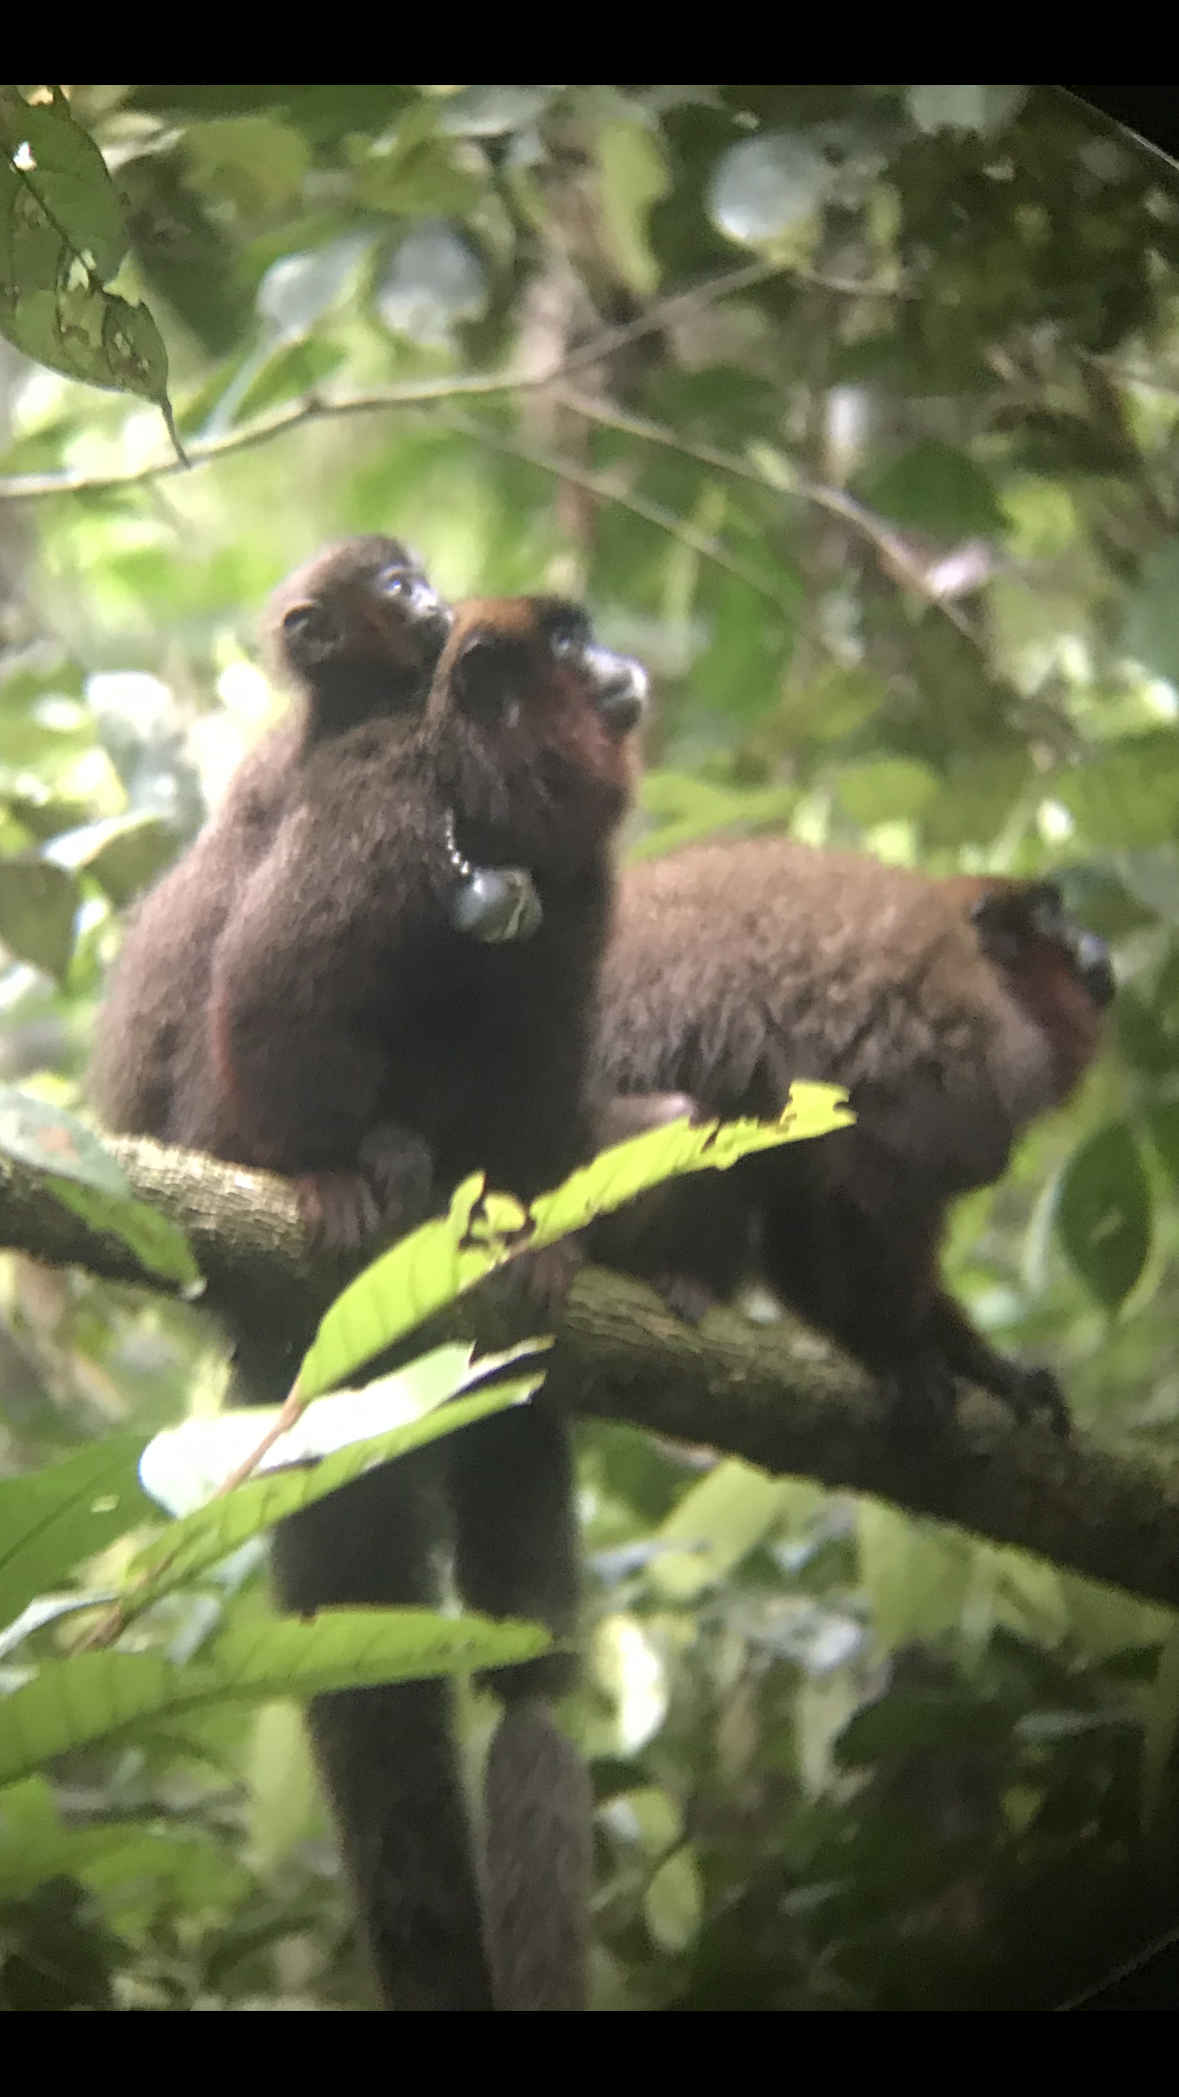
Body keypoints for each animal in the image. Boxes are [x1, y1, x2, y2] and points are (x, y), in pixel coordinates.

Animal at [589, 839, 1115, 1437]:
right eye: (1052, 912)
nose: (1093, 938)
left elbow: (800, 1225)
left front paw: (994, 1371)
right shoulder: (967, 1041)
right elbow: (868, 1186)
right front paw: (895, 1355)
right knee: (681, 1116)